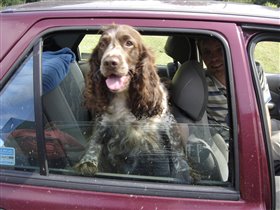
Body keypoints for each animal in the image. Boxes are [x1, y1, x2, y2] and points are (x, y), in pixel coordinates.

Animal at [75, 24, 190, 181]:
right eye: (103, 44)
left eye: (129, 43)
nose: (109, 62)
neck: (124, 96)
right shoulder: (103, 121)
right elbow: (95, 141)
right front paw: (87, 162)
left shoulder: (166, 121)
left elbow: (176, 147)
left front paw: (183, 171)